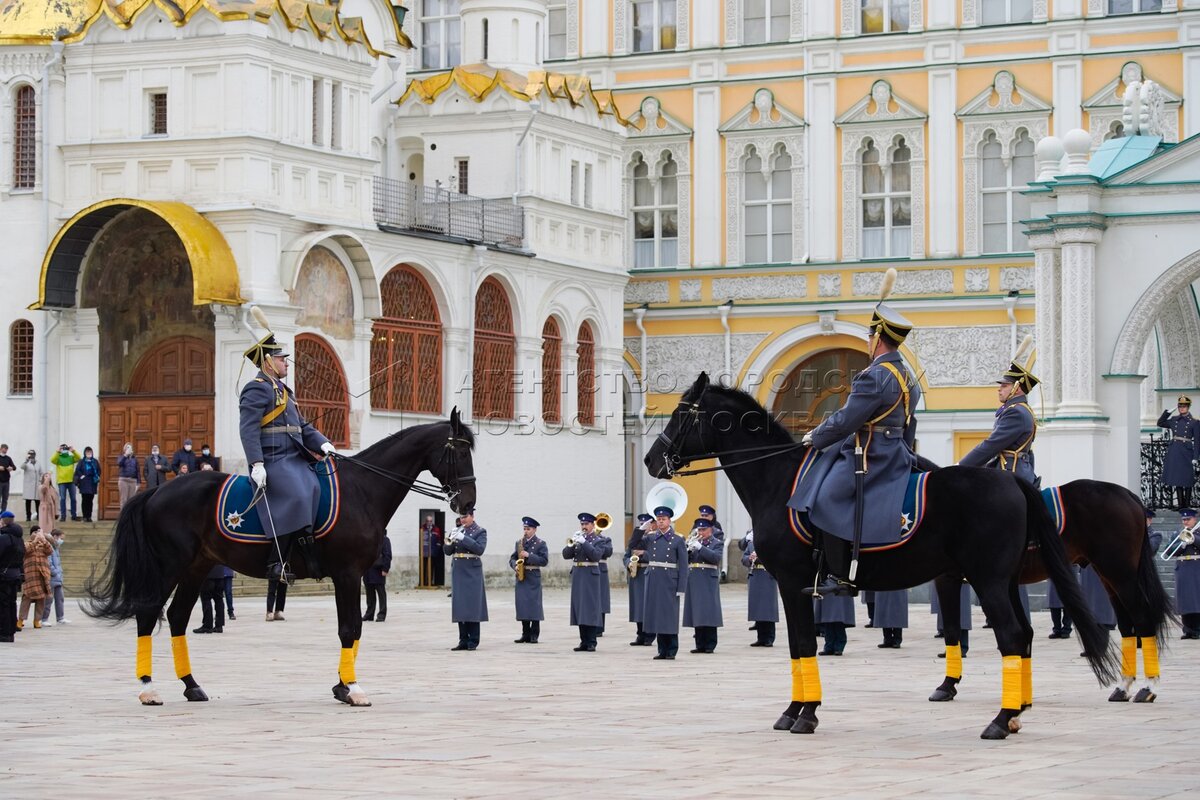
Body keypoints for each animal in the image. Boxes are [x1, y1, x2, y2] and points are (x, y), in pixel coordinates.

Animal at [84, 412, 475, 705]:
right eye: (459, 452)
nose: (467, 503)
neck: (362, 489)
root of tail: (156, 491)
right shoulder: (348, 574)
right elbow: (350, 627)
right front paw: (353, 688)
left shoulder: (350, 576)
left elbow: (352, 628)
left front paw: (341, 685)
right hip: (169, 567)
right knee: (148, 614)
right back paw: (148, 688)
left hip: (197, 567)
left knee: (177, 616)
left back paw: (191, 685)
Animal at [648, 374, 1113, 738]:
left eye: (682, 413)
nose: (653, 460)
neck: (778, 481)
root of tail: (1011, 482)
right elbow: (799, 648)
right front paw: (799, 710)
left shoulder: (791, 582)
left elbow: (802, 644)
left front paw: (803, 713)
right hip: (1005, 581)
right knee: (1025, 635)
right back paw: (1016, 712)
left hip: (989, 582)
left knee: (1013, 637)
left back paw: (1000, 720)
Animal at [926, 474, 1171, 705]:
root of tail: (1128, 494)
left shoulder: (947, 577)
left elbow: (951, 628)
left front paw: (947, 684)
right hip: (1110, 578)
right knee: (1127, 624)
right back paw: (1123, 686)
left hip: (1120, 573)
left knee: (1142, 619)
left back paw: (1148, 687)